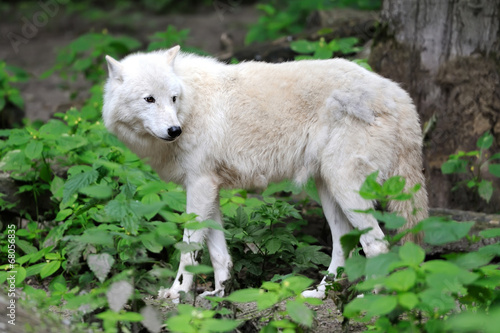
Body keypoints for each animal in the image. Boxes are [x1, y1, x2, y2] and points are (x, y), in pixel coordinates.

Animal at [102, 46, 430, 298]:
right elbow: (219, 253)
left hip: (345, 187)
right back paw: (320, 293)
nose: (174, 130)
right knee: (344, 246)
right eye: (149, 99)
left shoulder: (200, 186)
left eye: (172, 98)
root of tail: (400, 96)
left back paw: (368, 300)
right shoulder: (208, 188)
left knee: (377, 245)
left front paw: (177, 293)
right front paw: (219, 294)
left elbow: (189, 248)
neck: (192, 105)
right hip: (328, 190)